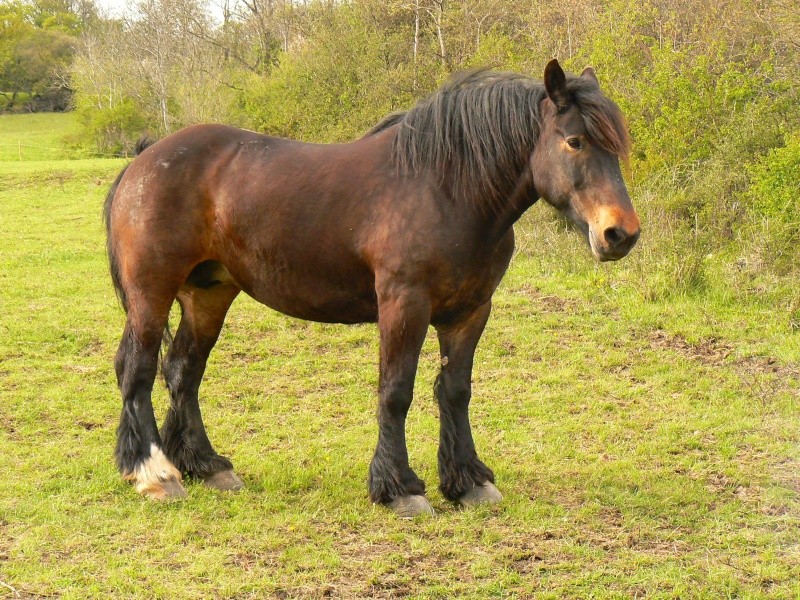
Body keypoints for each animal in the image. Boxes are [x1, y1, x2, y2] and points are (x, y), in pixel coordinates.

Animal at [104, 62, 636, 520]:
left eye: (616, 146)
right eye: (574, 141)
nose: (620, 234)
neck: (447, 189)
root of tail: (144, 160)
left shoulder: (470, 311)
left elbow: (456, 390)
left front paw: (467, 482)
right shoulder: (404, 305)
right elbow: (396, 391)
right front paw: (399, 488)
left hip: (208, 294)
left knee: (183, 371)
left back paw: (206, 466)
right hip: (151, 294)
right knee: (138, 369)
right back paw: (155, 473)